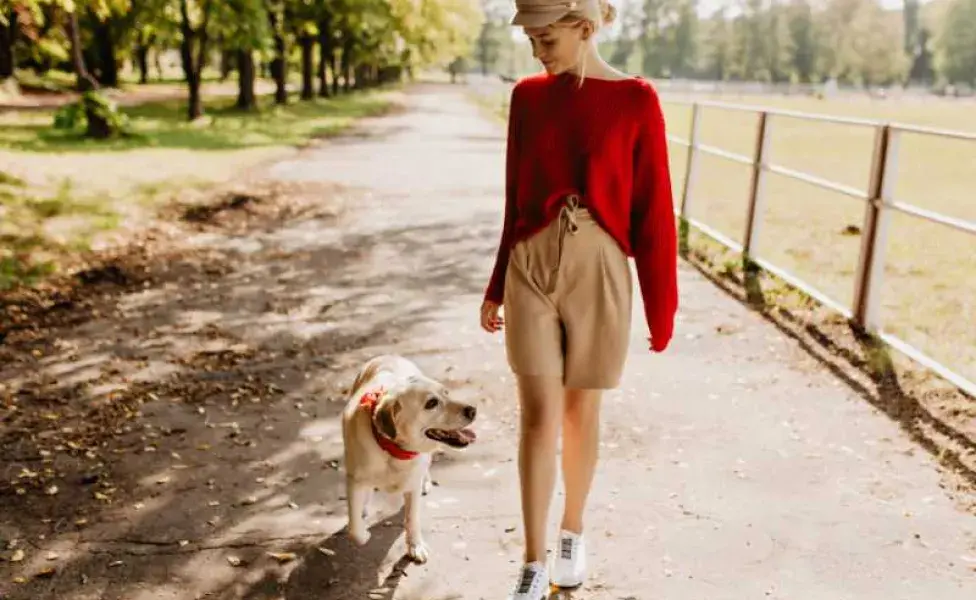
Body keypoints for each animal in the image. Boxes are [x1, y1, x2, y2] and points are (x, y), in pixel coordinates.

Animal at [342, 354, 478, 560]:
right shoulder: (353, 481)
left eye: (446, 393)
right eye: (431, 403)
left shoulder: (412, 485)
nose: (473, 410)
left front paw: (415, 545)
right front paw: (364, 533)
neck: (390, 449)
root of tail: (388, 355)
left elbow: (412, 519)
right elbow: (354, 530)